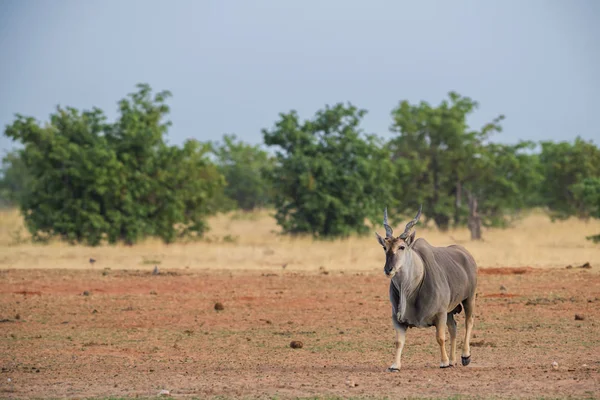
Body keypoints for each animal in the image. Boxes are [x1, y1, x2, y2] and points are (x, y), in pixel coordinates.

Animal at [376, 206, 478, 372]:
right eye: (385, 247)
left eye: (401, 247)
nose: (388, 269)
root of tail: (466, 254)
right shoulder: (397, 319)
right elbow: (399, 341)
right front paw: (395, 365)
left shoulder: (440, 313)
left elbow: (440, 337)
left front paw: (443, 362)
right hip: (450, 311)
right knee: (453, 328)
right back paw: (453, 360)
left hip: (469, 298)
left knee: (469, 321)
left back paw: (465, 356)